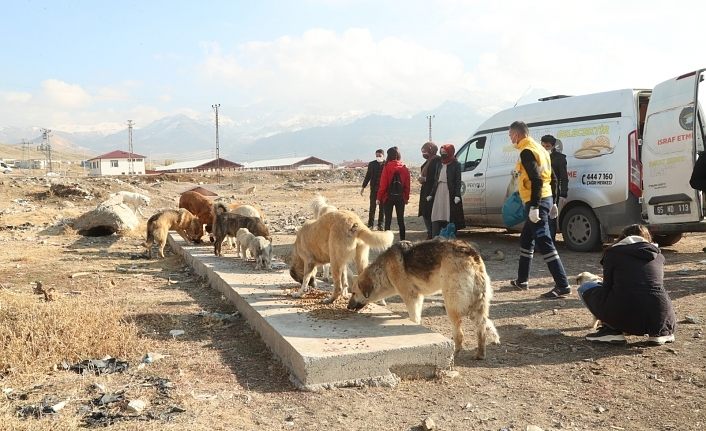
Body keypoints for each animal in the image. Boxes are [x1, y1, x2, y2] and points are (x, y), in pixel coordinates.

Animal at [348, 241, 500, 360]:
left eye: (354, 293)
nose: (348, 307)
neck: (384, 270)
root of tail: (471, 254)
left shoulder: (411, 298)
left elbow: (414, 318)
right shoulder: (419, 298)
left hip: (451, 305)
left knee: (460, 335)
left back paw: (455, 353)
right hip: (477, 309)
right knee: (481, 329)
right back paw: (480, 354)